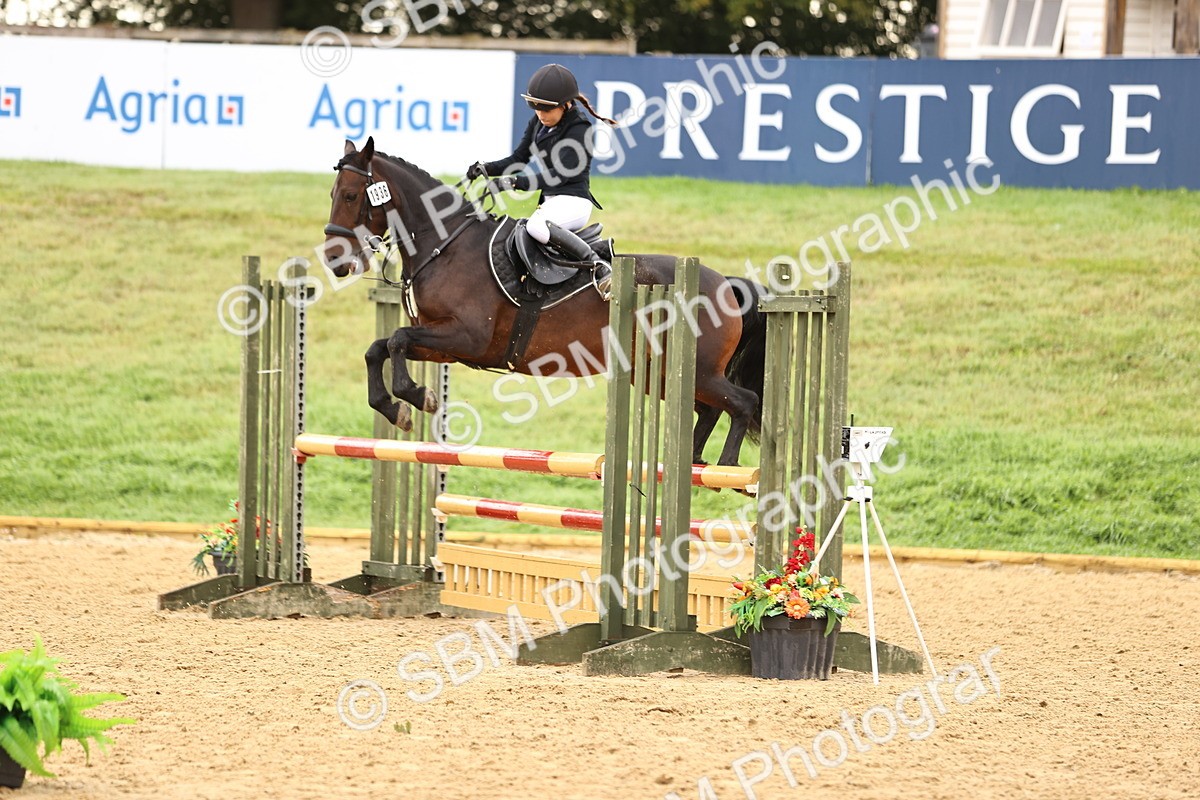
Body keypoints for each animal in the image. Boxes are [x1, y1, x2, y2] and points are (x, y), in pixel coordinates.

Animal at [321, 137, 766, 467]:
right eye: (333, 194)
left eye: (351, 195)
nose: (334, 261)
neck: (445, 245)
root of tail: (724, 283)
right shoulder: (442, 343)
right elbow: (378, 348)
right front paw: (393, 407)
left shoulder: (466, 337)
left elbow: (396, 340)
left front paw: (415, 397)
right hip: (660, 374)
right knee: (709, 409)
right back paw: (693, 460)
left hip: (697, 370)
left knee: (744, 402)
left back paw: (727, 466)